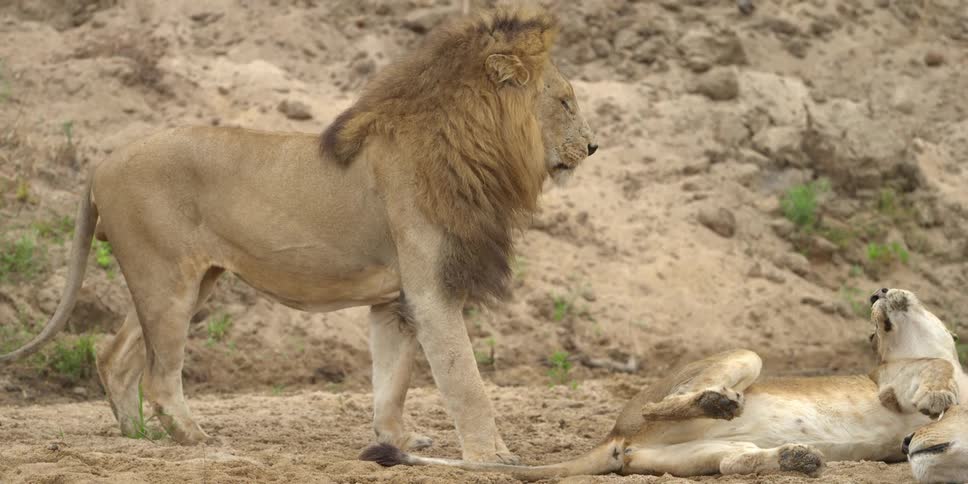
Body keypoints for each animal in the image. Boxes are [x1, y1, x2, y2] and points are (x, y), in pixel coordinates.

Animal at [0, 6, 596, 464]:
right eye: (565, 101)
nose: (593, 148)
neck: (472, 148)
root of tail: (102, 161)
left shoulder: (396, 300)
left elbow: (392, 382)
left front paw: (396, 443)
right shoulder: (433, 291)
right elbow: (465, 381)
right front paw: (492, 456)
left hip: (186, 281)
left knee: (115, 357)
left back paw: (140, 439)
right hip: (167, 281)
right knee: (160, 378)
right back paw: (202, 442)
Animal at [361, 288, 967, 479]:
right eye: (876, 321)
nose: (879, 290)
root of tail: (615, 435)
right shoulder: (892, 380)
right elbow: (935, 378)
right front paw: (941, 397)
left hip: (685, 458)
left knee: (732, 463)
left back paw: (799, 458)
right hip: (742, 357)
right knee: (669, 407)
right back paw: (721, 402)